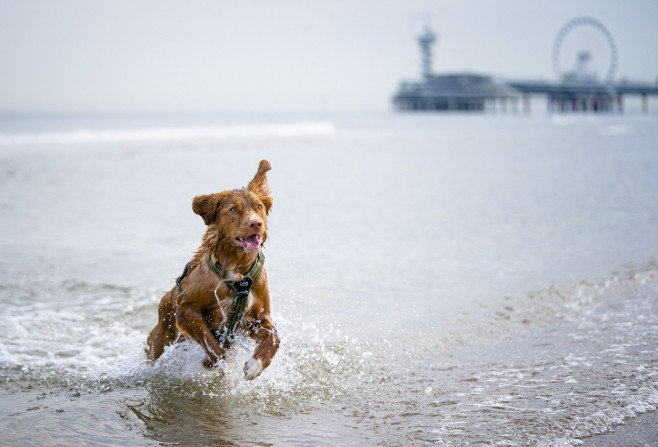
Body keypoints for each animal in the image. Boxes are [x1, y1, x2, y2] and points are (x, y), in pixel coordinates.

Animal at [146, 159, 280, 380]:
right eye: (233, 209)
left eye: (259, 206)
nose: (256, 223)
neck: (237, 269)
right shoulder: (187, 308)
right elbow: (212, 345)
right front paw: (215, 362)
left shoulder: (257, 318)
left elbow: (275, 338)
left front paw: (255, 365)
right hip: (159, 340)